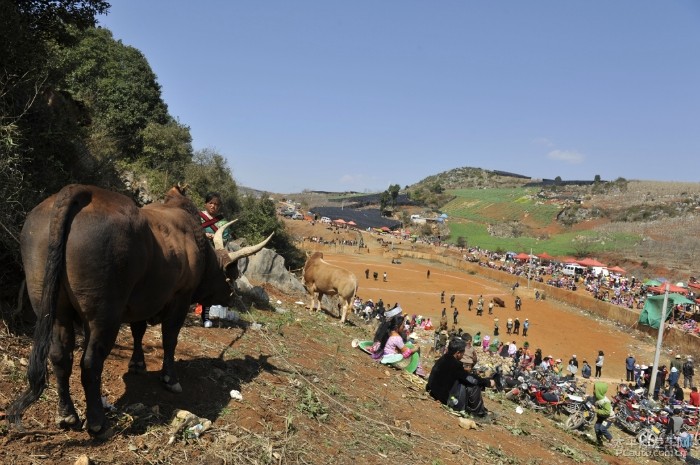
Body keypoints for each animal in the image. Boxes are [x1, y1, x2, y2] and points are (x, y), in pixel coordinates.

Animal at [6, 183, 274, 434]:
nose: (231, 298)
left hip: (53, 310)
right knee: (91, 362)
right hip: (104, 315)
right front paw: (170, 377)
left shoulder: (141, 301)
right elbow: (170, 338)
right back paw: (96, 421)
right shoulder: (180, 298)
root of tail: (81, 191)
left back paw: (67, 414)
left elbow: (138, 331)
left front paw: (137, 364)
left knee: (60, 356)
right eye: (232, 275)